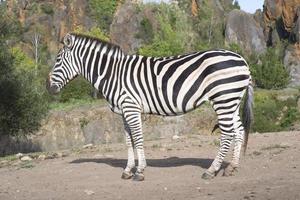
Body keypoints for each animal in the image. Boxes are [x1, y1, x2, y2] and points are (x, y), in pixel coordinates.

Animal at [46, 33, 253, 181]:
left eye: (57, 60)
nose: (48, 87)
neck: (113, 74)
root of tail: (242, 59)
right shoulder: (123, 111)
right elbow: (128, 140)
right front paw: (128, 170)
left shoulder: (131, 107)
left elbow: (138, 138)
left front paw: (139, 172)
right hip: (231, 100)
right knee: (239, 130)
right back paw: (232, 168)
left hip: (223, 99)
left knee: (227, 134)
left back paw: (211, 171)